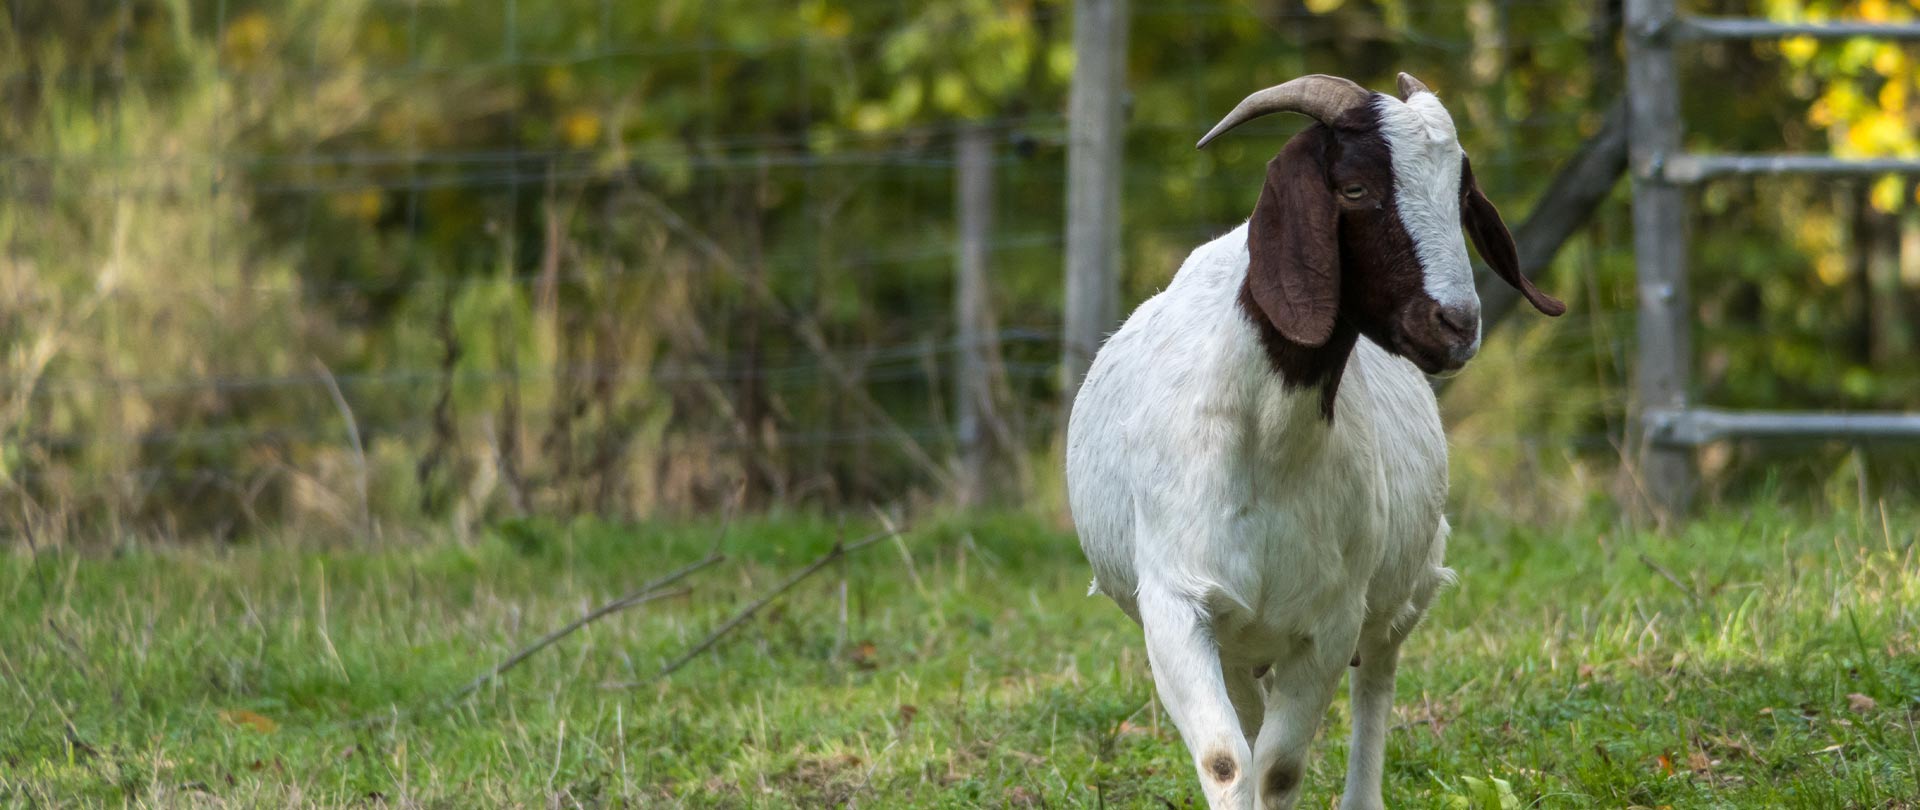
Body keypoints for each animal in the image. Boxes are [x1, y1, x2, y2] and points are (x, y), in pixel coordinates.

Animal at [1059, 72, 1566, 806]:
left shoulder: (1330, 620)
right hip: (1240, 640)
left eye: (1462, 194)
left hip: (1402, 590)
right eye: (1353, 189)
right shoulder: (1178, 607)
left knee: (1375, 680)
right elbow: (1228, 759)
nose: (1457, 324)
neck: (1265, 447)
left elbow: (1279, 766)